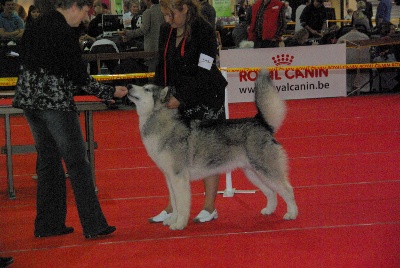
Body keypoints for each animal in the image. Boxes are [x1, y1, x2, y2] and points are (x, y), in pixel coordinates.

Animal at [128, 70, 296, 229]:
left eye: (146, 89)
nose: (129, 85)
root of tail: (260, 122)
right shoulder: (169, 177)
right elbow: (174, 204)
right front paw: (171, 220)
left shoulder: (179, 177)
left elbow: (181, 205)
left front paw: (179, 224)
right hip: (253, 173)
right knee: (271, 191)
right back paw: (269, 210)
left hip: (266, 170)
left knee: (287, 189)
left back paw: (292, 214)